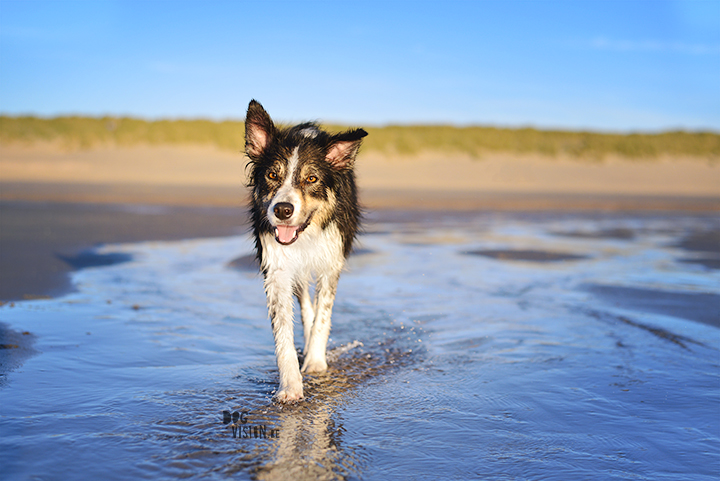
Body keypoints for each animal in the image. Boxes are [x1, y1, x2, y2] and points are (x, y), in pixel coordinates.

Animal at [243, 98, 366, 402]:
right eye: (272, 174)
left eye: (311, 179)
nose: (282, 210)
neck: (306, 234)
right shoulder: (277, 269)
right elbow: (283, 333)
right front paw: (290, 387)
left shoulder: (331, 263)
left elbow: (323, 316)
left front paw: (316, 364)